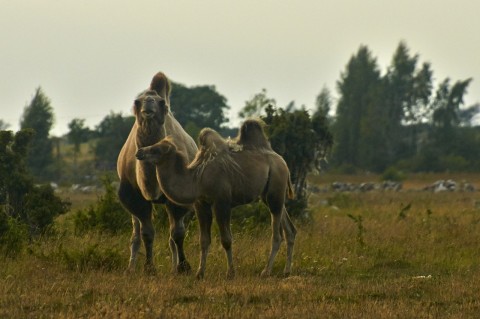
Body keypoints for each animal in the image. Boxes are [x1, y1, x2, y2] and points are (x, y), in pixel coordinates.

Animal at [117, 72, 198, 276]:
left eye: (161, 102)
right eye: (137, 101)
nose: (148, 104)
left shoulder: (178, 196)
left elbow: (177, 233)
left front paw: (183, 267)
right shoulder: (134, 196)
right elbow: (147, 233)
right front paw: (149, 267)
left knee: (173, 234)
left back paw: (174, 267)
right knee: (135, 235)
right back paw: (130, 268)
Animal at [133, 119, 294, 278]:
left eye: (156, 150)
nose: (139, 152)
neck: (197, 179)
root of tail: (282, 161)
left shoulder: (222, 202)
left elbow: (226, 240)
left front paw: (230, 273)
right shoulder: (201, 204)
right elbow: (204, 240)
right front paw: (200, 273)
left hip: (275, 188)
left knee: (277, 235)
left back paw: (266, 271)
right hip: (269, 195)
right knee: (289, 229)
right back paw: (286, 271)